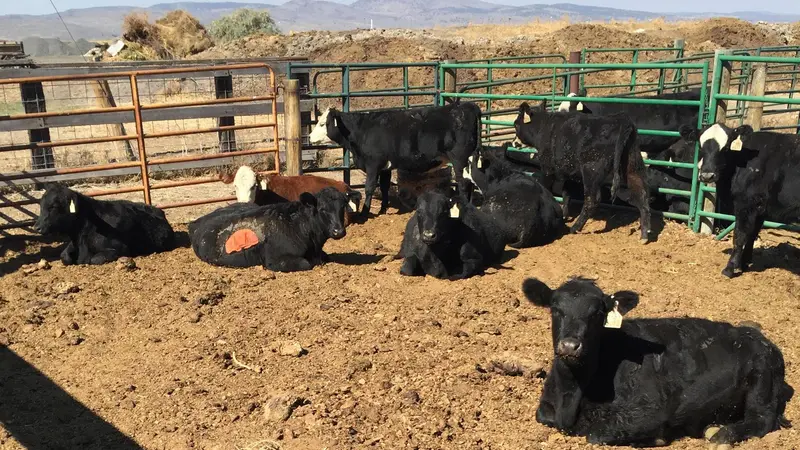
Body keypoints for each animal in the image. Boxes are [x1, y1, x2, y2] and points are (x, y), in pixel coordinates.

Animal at [32, 183, 175, 265]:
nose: (37, 227)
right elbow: (64, 256)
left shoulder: (121, 248)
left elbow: (94, 259)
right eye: (41, 205)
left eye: (54, 206)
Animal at [307, 102, 482, 217]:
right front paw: (383, 209)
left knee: (463, 183)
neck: (363, 131)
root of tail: (468, 106)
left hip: (459, 160)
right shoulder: (385, 167)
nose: (309, 137)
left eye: (322, 123)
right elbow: (384, 187)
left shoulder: (373, 164)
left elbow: (369, 187)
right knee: (470, 182)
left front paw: (365, 212)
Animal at [514, 101, 652, 242]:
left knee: (592, 201)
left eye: (516, 124)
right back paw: (644, 234)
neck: (544, 126)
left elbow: (548, 188)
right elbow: (566, 194)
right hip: (632, 167)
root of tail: (620, 120)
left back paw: (575, 227)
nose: (514, 143)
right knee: (642, 195)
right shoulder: (569, 173)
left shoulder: (548, 169)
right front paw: (565, 214)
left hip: (591, 171)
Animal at [523, 276, 793, 448]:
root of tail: (756, 336)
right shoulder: (546, 408)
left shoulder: (650, 410)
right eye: (555, 309)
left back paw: (722, 435)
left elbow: (597, 433)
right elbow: (542, 415)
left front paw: (656, 438)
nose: (570, 345)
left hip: (762, 384)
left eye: (598, 313)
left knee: (762, 419)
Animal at [679, 123, 800, 278]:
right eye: (700, 146)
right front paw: (744, 263)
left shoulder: (745, 204)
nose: (707, 175)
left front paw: (730, 268)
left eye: (725, 148)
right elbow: (752, 234)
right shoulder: (760, 208)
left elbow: (740, 235)